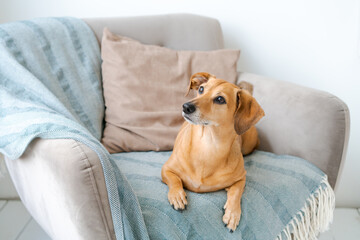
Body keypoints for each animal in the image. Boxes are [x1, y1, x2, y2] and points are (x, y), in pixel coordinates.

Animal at [160, 72, 264, 232]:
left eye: (220, 99)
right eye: (201, 89)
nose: (186, 106)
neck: (208, 146)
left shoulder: (241, 178)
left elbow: (236, 192)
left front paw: (233, 213)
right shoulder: (166, 169)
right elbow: (174, 179)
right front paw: (177, 195)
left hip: (248, 145)